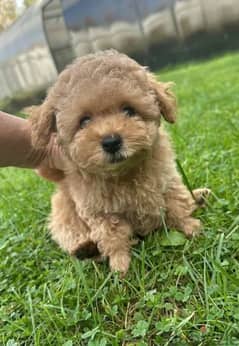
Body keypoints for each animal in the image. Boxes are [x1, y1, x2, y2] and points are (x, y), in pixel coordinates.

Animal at [29, 50, 209, 274]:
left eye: (129, 110)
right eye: (84, 121)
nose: (111, 141)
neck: (123, 172)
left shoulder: (167, 179)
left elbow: (177, 204)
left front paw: (191, 227)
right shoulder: (100, 212)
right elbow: (112, 236)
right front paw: (120, 265)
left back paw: (199, 196)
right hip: (64, 209)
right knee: (69, 230)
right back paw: (86, 249)